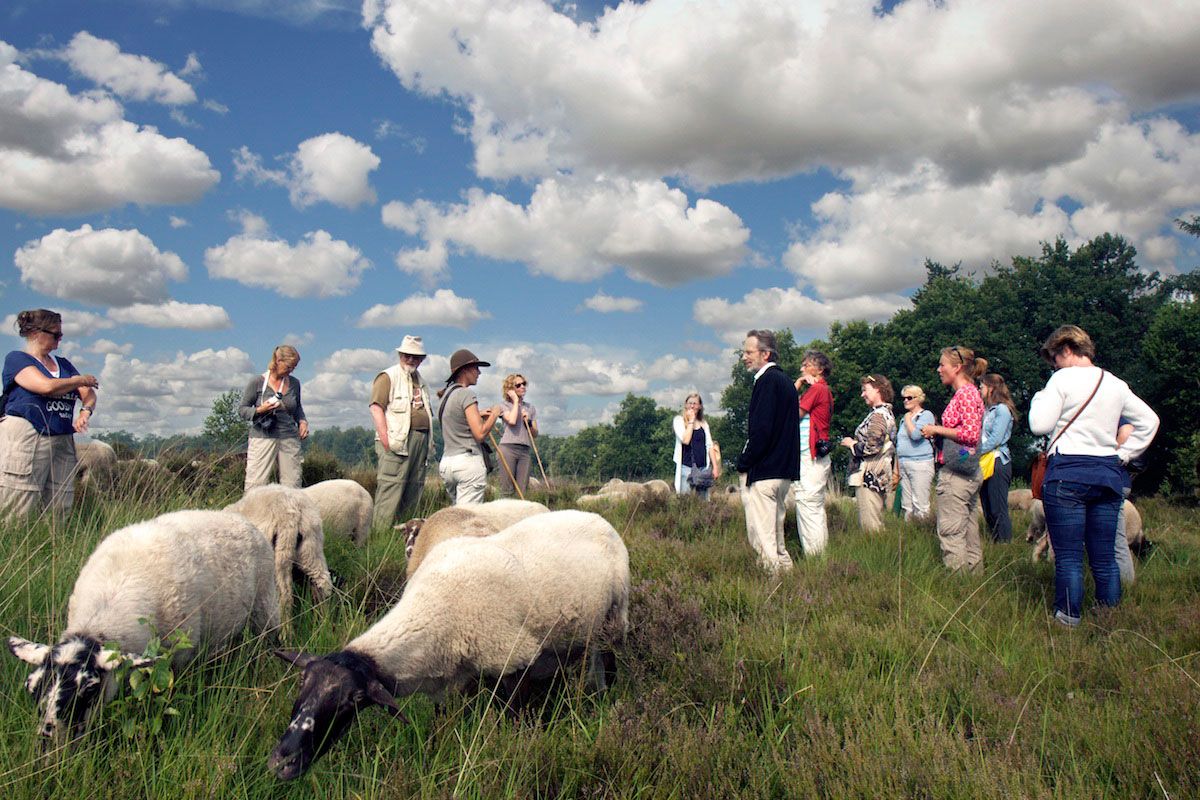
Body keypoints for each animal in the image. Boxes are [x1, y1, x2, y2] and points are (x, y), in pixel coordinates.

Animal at [4, 510, 278, 743]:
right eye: (32, 688)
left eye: (90, 690)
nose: (49, 743)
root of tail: (241, 518)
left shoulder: (176, 659)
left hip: (265, 606)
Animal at [224, 482, 333, 633]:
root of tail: (294, 510)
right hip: (311, 548)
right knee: (322, 584)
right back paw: (323, 625)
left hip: (280, 554)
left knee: (284, 595)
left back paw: (285, 632)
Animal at [268, 510, 633, 777]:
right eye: (301, 685)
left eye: (352, 700)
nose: (282, 761)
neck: (436, 606)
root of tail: (594, 516)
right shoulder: (449, 678)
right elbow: (440, 723)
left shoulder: (513, 658)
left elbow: (516, 720)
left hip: (615, 616)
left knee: (607, 663)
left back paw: (605, 702)